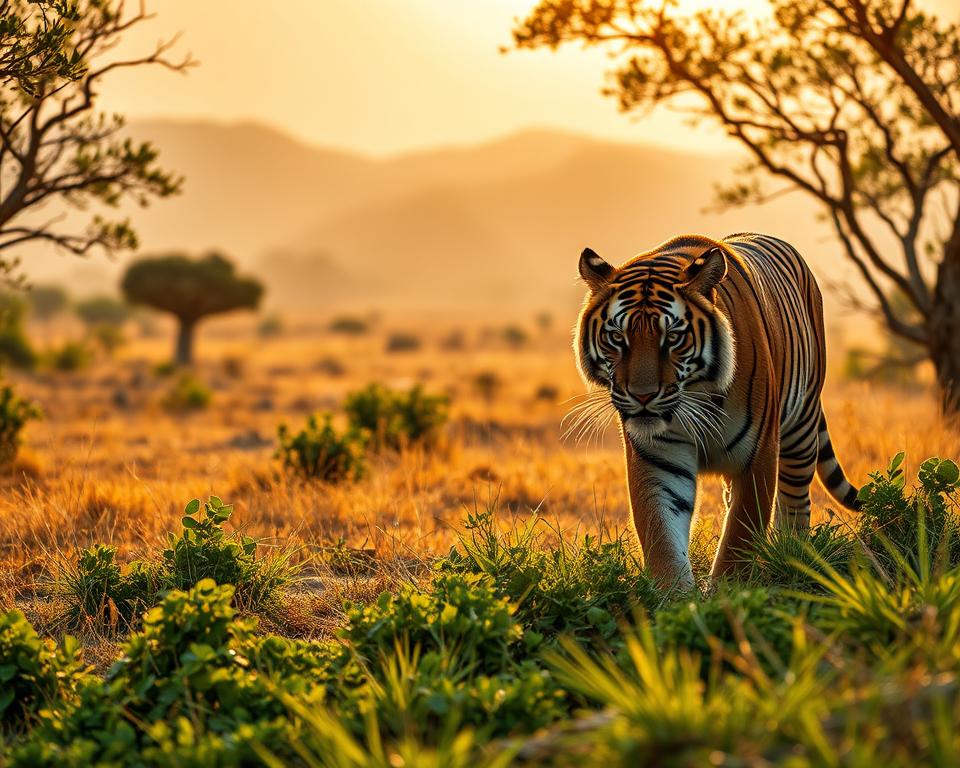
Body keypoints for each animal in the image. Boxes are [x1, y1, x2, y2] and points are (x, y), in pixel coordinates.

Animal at [574, 232, 859, 589]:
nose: (642, 396)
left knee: (795, 501)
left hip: (801, 426)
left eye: (673, 337)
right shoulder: (657, 459)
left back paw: (791, 555)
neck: (694, 395)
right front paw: (675, 597)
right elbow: (661, 534)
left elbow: (740, 533)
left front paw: (727, 594)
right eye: (616, 337)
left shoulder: (758, 454)